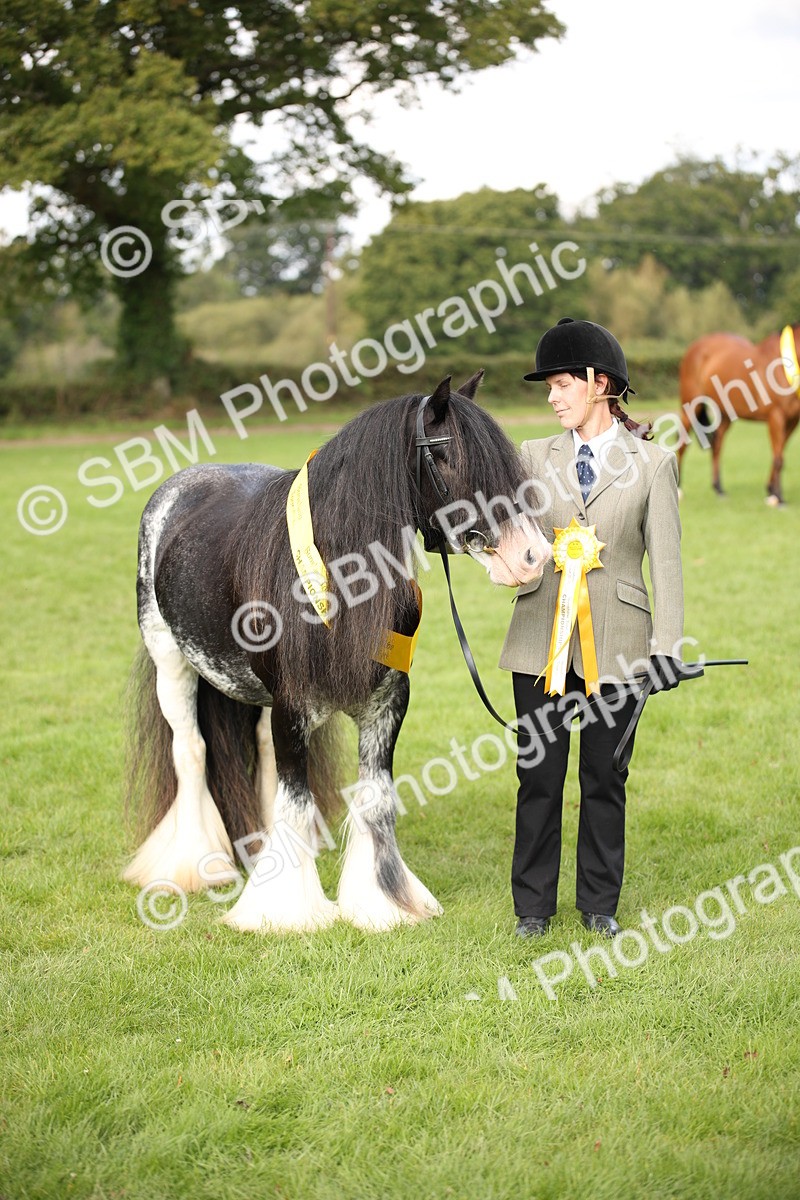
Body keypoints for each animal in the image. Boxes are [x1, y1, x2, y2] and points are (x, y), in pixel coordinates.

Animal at [123, 372, 552, 933]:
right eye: (445, 457)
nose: (533, 556)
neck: (339, 577)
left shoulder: (386, 705)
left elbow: (374, 800)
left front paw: (385, 903)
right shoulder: (291, 706)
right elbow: (296, 797)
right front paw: (284, 912)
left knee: (262, 755)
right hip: (171, 662)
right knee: (191, 751)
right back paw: (198, 866)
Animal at [676, 323, 800, 504]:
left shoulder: (792, 420)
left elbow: (779, 454)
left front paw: (771, 491)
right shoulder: (776, 417)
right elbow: (778, 459)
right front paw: (777, 497)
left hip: (725, 414)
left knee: (717, 445)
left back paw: (719, 489)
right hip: (691, 406)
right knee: (683, 443)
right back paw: (678, 489)